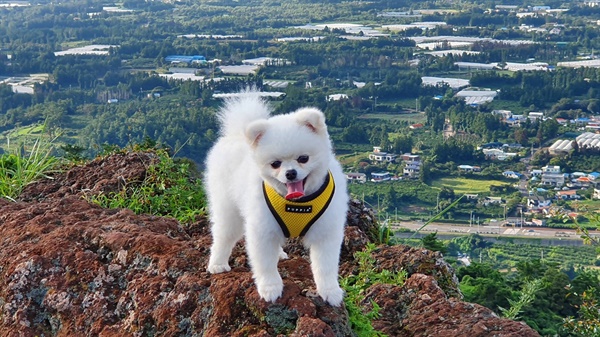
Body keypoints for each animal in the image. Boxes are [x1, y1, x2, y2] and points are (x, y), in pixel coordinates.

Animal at [205, 91, 350, 304]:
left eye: (303, 158)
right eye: (275, 164)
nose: (290, 173)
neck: (298, 203)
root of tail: (235, 134)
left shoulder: (326, 231)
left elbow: (326, 265)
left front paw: (330, 291)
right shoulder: (262, 229)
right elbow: (265, 263)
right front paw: (270, 287)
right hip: (228, 208)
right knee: (224, 235)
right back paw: (217, 263)